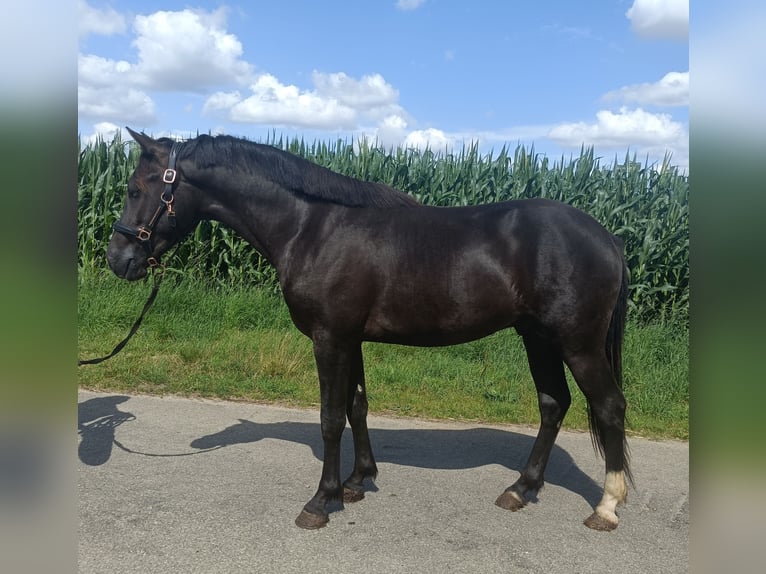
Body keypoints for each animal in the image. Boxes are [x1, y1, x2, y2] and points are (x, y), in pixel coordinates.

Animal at [109, 128, 636, 532]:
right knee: (553, 404)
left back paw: (607, 507)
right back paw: (521, 489)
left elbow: (329, 418)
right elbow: (357, 407)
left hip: (577, 343)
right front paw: (357, 482)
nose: (118, 259)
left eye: (136, 189)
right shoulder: (351, 339)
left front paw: (320, 502)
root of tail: (608, 236)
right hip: (538, 338)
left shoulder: (330, 338)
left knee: (609, 406)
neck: (311, 226)